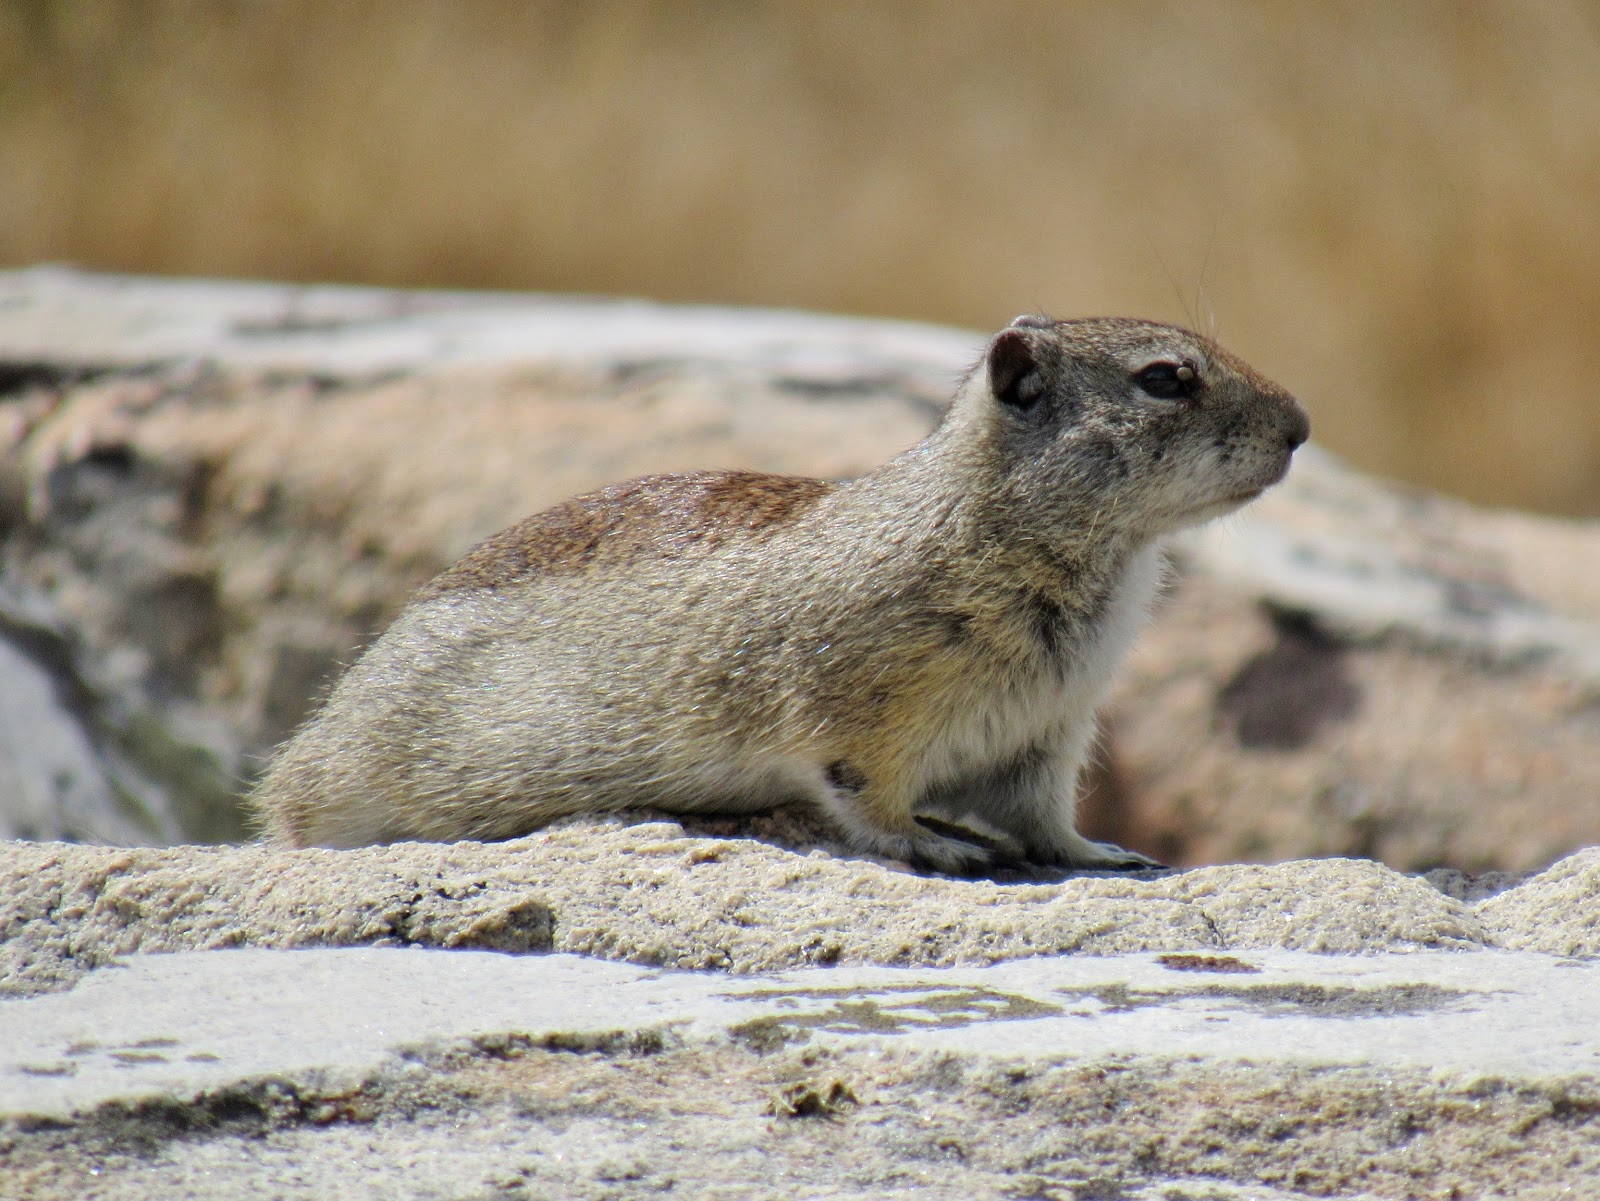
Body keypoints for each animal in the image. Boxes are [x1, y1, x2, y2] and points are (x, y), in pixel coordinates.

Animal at [252, 315, 1309, 874]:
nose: (1302, 423)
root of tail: (302, 759)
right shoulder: (866, 710)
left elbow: (1045, 821)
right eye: (1166, 378)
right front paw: (938, 846)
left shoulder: (1049, 731)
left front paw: (1108, 854)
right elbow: (866, 797)